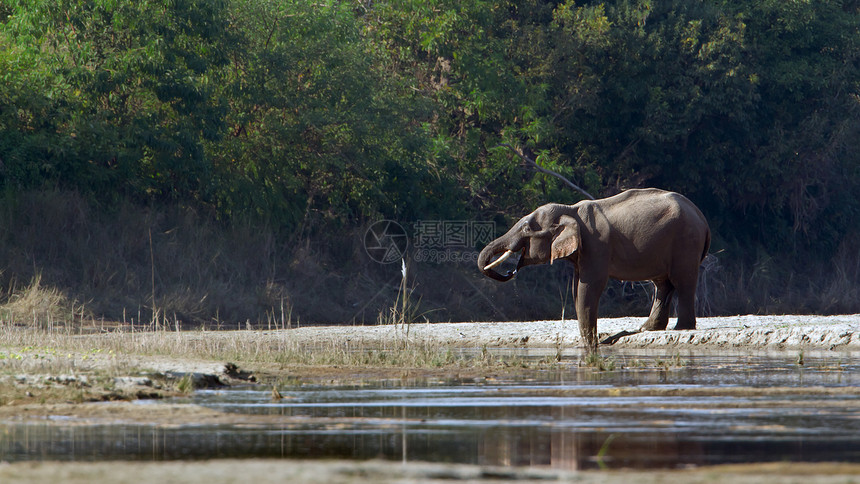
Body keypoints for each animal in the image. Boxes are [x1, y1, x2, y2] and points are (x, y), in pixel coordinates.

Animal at [478, 187, 712, 350]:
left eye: (527, 229)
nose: (511, 272)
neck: (570, 209)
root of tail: (702, 217)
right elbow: (576, 288)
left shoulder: (596, 244)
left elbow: (589, 286)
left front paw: (590, 347)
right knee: (662, 284)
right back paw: (647, 329)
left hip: (686, 240)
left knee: (682, 280)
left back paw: (682, 328)